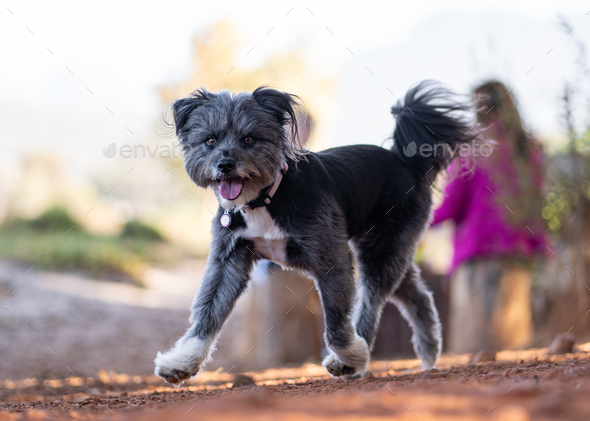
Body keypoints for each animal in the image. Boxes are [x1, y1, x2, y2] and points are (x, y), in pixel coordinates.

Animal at [155, 80, 478, 386]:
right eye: (210, 140)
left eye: (248, 139)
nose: (224, 164)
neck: (267, 198)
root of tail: (405, 160)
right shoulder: (229, 261)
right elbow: (208, 312)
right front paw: (182, 362)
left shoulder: (332, 261)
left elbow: (335, 324)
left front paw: (350, 357)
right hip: (388, 249)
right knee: (418, 296)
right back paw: (428, 351)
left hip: (381, 250)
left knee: (371, 304)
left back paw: (360, 357)